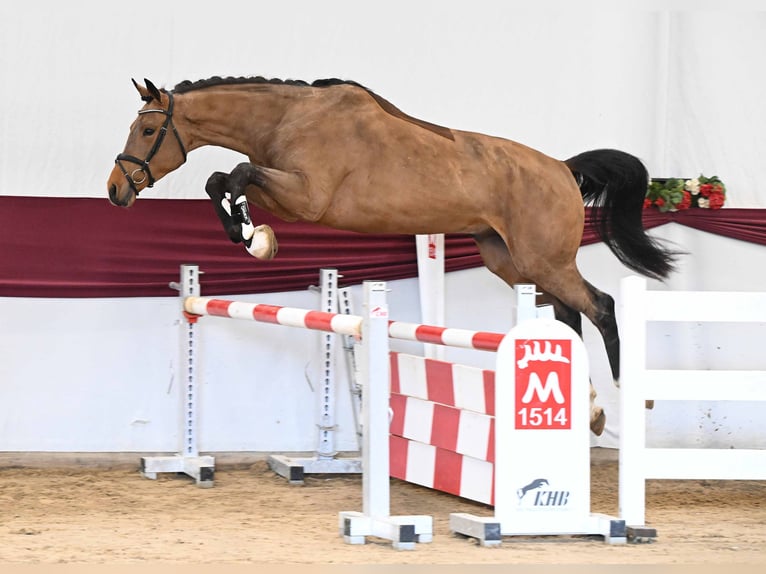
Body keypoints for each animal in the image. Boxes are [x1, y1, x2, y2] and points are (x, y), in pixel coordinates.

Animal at [107, 76, 678, 435]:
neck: (287, 118)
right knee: (567, 315)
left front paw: (254, 236)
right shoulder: (289, 196)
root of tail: (562, 167)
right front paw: (252, 234)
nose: (115, 190)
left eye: (149, 130)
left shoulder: (307, 198)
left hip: (544, 261)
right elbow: (221, 180)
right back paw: (591, 410)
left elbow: (237, 174)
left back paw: (626, 397)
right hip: (512, 261)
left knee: (599, 305)